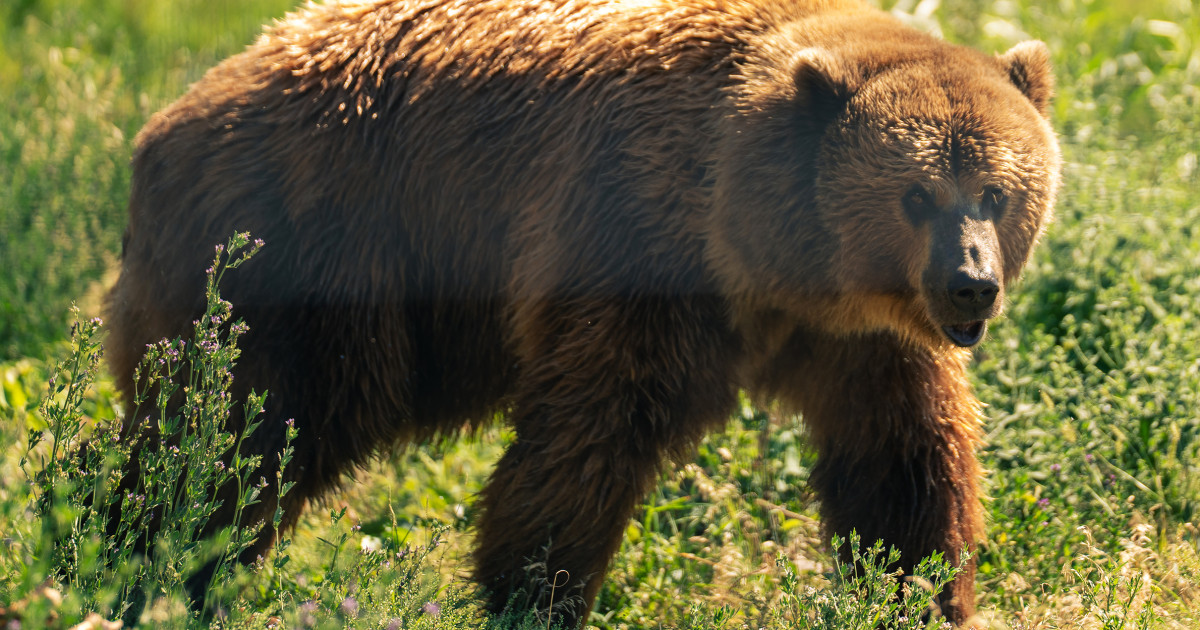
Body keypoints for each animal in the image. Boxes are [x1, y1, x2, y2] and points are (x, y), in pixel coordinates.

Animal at [105, 0, 1060, 625]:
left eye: (997, 191)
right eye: (916, 194)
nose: (971, 285)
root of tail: (165, 123)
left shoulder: (861, 335)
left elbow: (902, 462)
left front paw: (916, 590)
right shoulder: (630, 238)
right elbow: (585, 441)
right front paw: (532, 593)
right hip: (308, 252)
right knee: (231, 439)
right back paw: (146, 562)